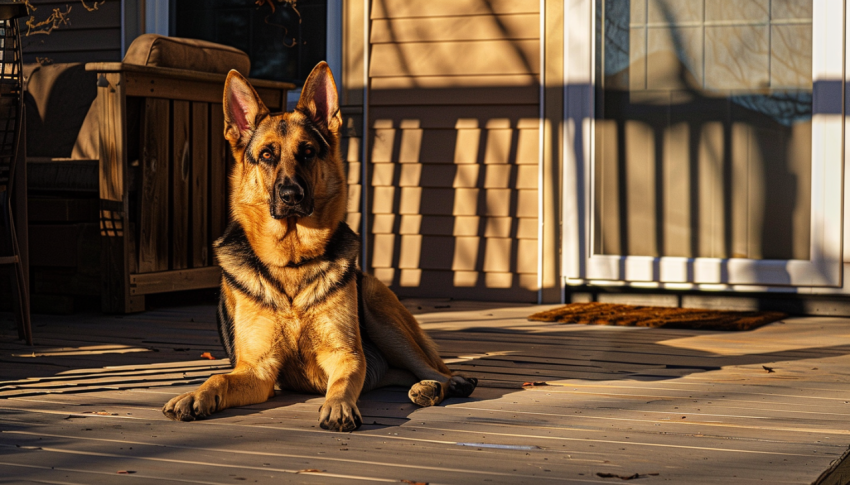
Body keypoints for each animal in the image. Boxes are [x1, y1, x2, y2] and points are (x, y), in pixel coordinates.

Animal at [162, 61, 474, 432]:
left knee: (432, 367)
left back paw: (444, 383)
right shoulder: (258, 370)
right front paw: (194, 395)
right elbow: (218, 378)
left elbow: (341, 384)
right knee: (402, 373)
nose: (291, 195)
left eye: (308, 152)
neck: (293, 262)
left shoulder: (346, 355)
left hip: (378, 307)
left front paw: (338, 405)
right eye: (266, 155)